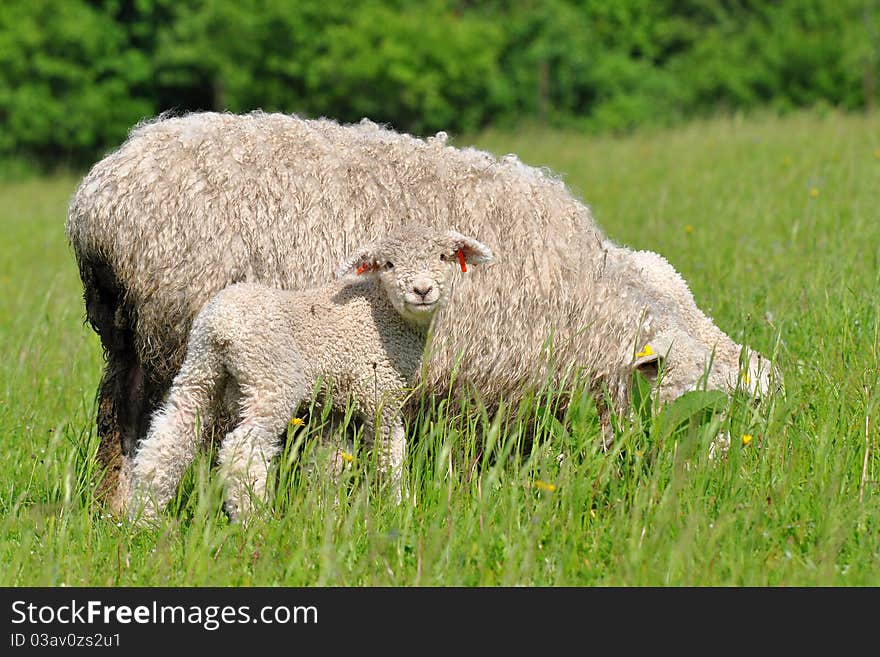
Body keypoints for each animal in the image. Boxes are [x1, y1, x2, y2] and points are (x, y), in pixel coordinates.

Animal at [129, 223, 496, 520]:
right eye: (389, 264)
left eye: (443, 256)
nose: (422, 291)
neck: (385, 312)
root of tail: (223, 324)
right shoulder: (380, 394)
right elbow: (390, 455)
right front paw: (400, 506)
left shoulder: (334, 406)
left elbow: (328, 463)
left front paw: (324, 512)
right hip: (272, 378)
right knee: (243, 452)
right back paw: (253, 521)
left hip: (199, 371)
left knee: (167, 440)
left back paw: (143, 518)